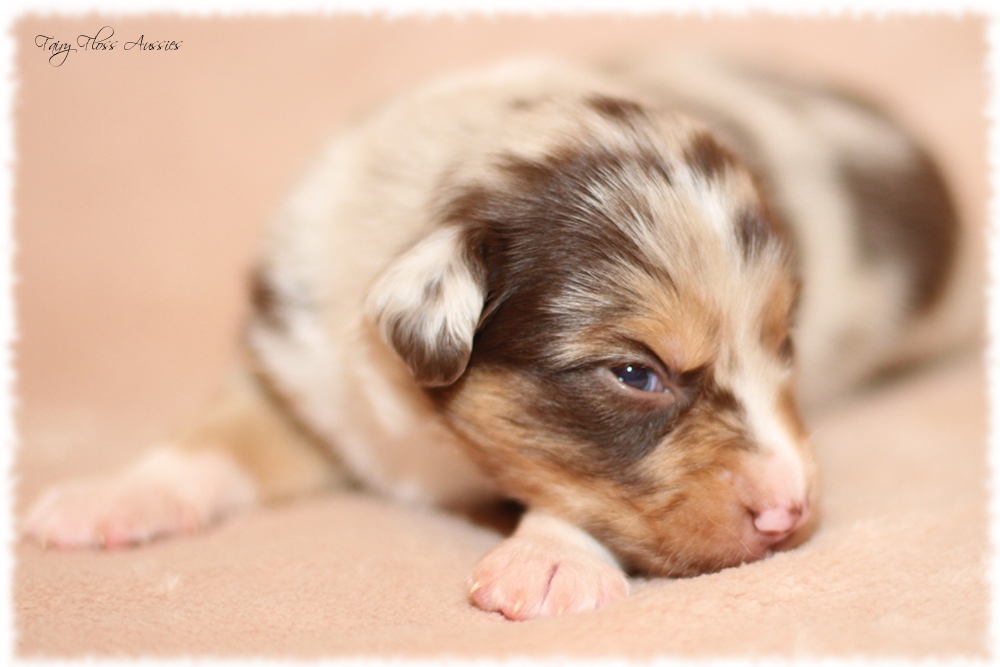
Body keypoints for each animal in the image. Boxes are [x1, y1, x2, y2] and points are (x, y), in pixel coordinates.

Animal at [25, 56, 976, 620]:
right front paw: (106, 498)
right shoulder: (304, 369)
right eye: (635, 373)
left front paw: (548, 562)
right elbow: (215, 435)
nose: (791, 510)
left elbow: (572, 492)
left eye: (787, 344)